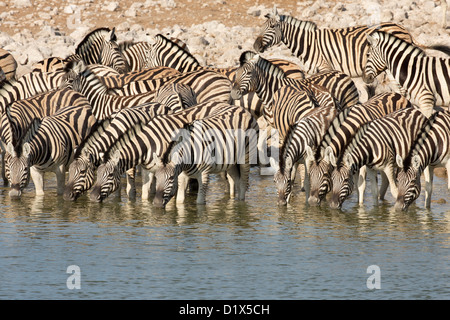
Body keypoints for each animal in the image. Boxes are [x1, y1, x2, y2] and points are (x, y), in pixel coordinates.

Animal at [86, 102, 244, 202]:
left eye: (110, 175)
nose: (92, 198)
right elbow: (145, 195)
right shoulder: (147, 170)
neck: (148, 144)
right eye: (97, 174)